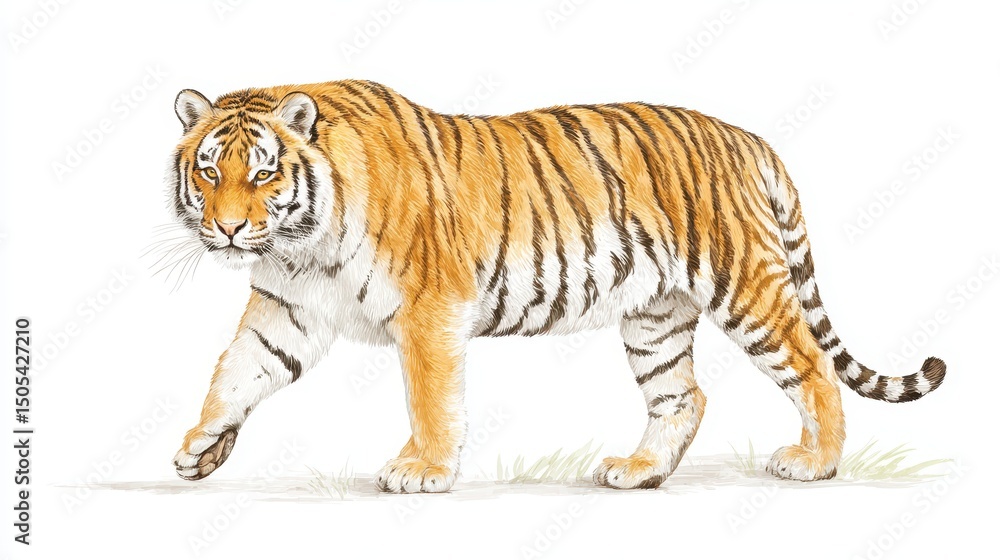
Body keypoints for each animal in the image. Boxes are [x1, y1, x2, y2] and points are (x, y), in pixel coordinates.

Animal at [168, 80, 946, 492]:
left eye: (263, 172)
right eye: (209, 170)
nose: (229, 229)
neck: (301, 245)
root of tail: (747, 139)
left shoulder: (428, 309)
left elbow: (431, 398)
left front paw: (422, 470)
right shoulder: (286, 309)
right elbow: (236, 372)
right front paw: (199, 446)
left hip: (745, 285)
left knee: (813, 367)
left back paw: (813, 464)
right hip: (656, 317)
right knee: (683, 396)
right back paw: (639, 471)